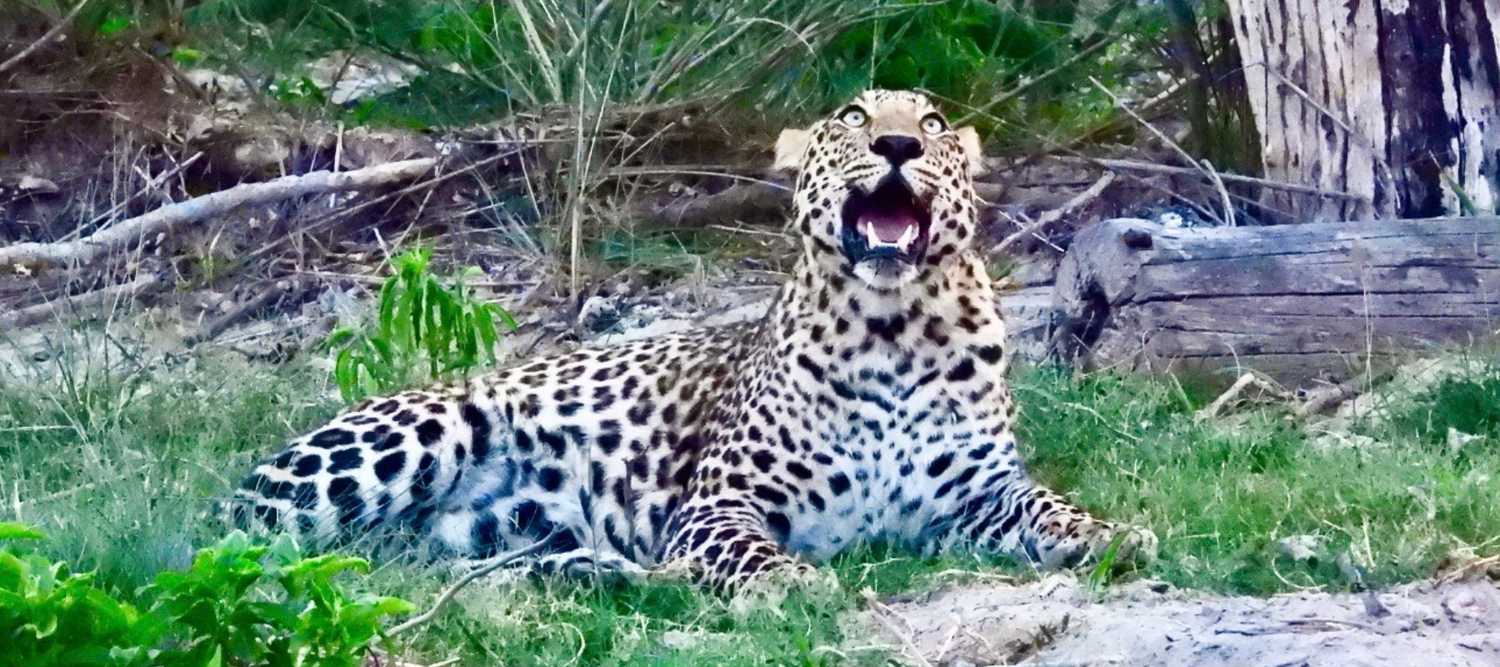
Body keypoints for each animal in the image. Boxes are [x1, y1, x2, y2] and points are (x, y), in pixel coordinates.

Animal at [231, 89, 1155, 591]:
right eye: (855, 116)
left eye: (930, 121)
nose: (896, 143)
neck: (891, 330)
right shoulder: (716, 505)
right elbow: (748, 549)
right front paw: (791, 581)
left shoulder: (978, 491)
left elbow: (1050, 503)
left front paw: (1113, 533)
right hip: (416, 433)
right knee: (246, 545)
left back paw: (590, 568)